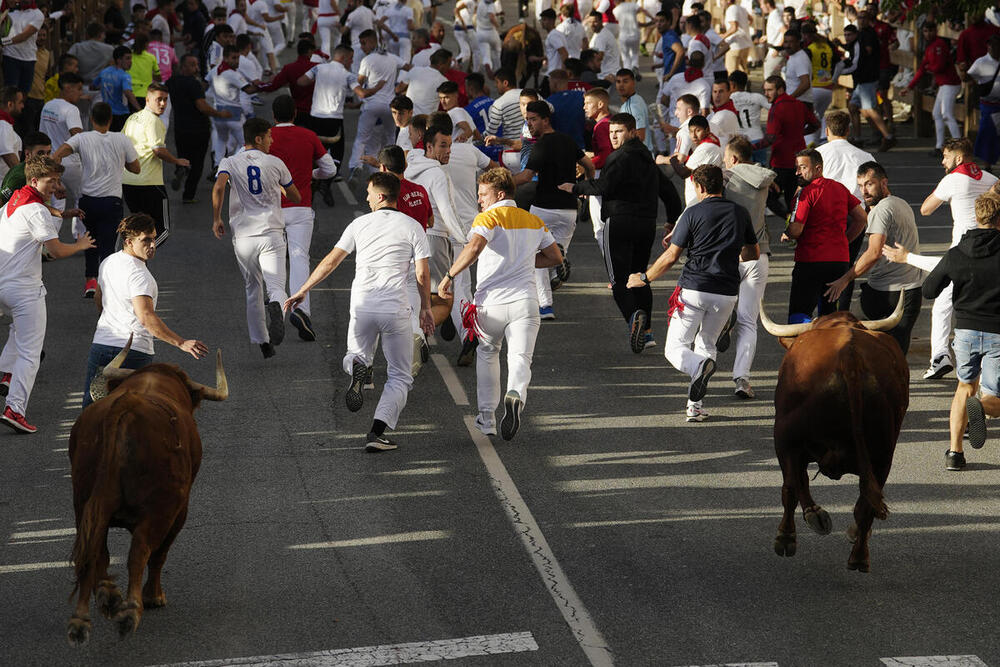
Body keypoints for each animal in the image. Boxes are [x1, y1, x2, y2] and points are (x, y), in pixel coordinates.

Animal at [68, 340, 229, 648]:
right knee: (140, 552)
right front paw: (154, 596)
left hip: (84, 503)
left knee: (94, 551)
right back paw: (131, 611)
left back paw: (89, 614)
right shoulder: (179, 511)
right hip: (161, 510)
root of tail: (126, 407)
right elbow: (158, 554)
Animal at [760, 298, 912, 576]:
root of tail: (849, 356)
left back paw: (791, 534)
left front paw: (803, 523)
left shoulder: (789, 443)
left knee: (791, 485)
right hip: (883, 453)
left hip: (785, 434)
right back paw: (859, 557)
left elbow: (795, 483)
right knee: (866, 504)